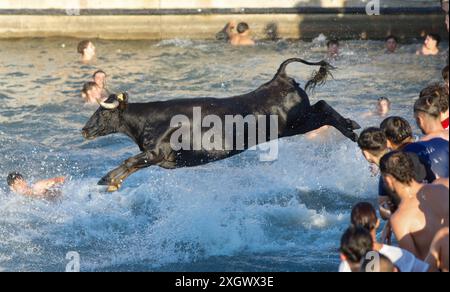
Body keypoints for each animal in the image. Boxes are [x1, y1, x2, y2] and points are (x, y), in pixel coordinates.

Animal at [82, 58, 360, 192]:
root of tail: (278, 78)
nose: (84, 130)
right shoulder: (155, 157)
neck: (149, 119)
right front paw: (112, 182)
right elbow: (132, 164)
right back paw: (352, 126)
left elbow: (129, 161)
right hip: (299, 122)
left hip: (298, 122)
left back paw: (352, 130)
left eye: (101, 112)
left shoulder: (156, 152)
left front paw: (107, 179)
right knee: (323, 106)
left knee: (324, 109)